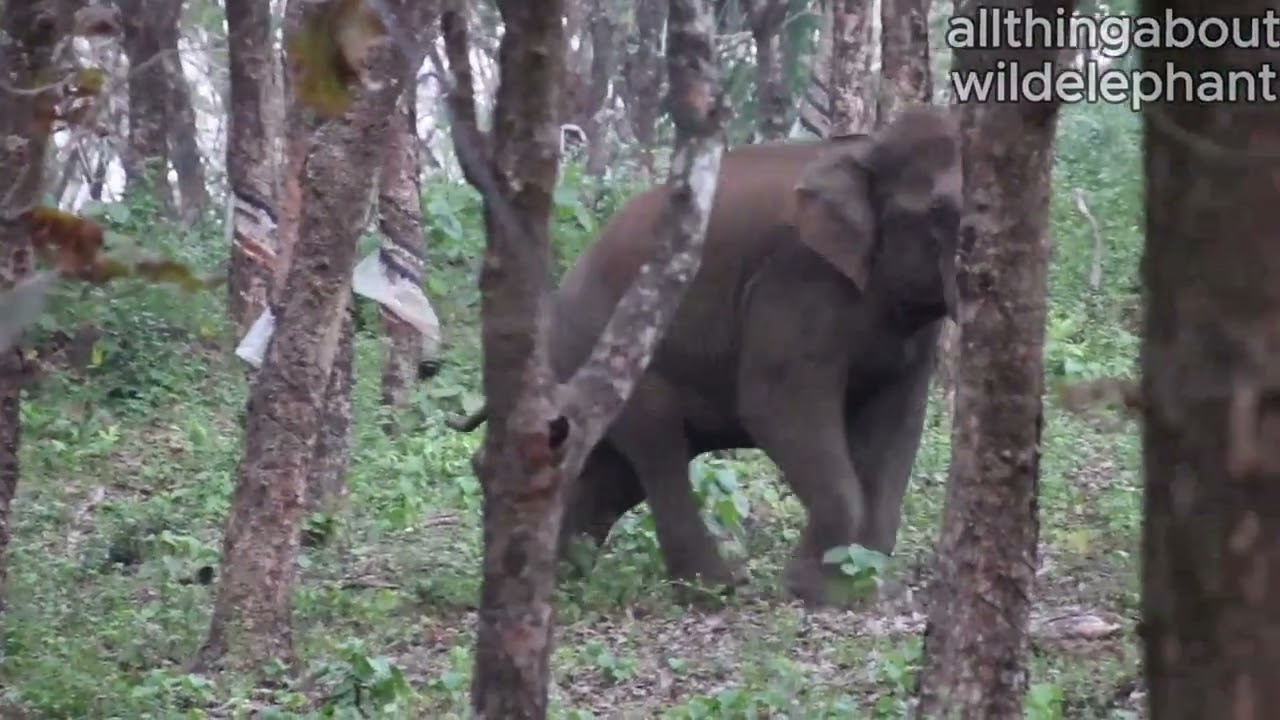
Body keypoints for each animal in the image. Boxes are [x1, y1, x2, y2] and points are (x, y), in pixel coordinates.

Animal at [448, 104, 963, 605]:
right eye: (940, 211)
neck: (865, 148)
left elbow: (897, 424)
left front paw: (869, 588)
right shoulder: (794, 281)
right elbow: (774, 406)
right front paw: (816, 591)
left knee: (612, 468)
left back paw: (565, 577)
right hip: (616, 349)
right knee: (656, 447)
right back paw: (714, 588)